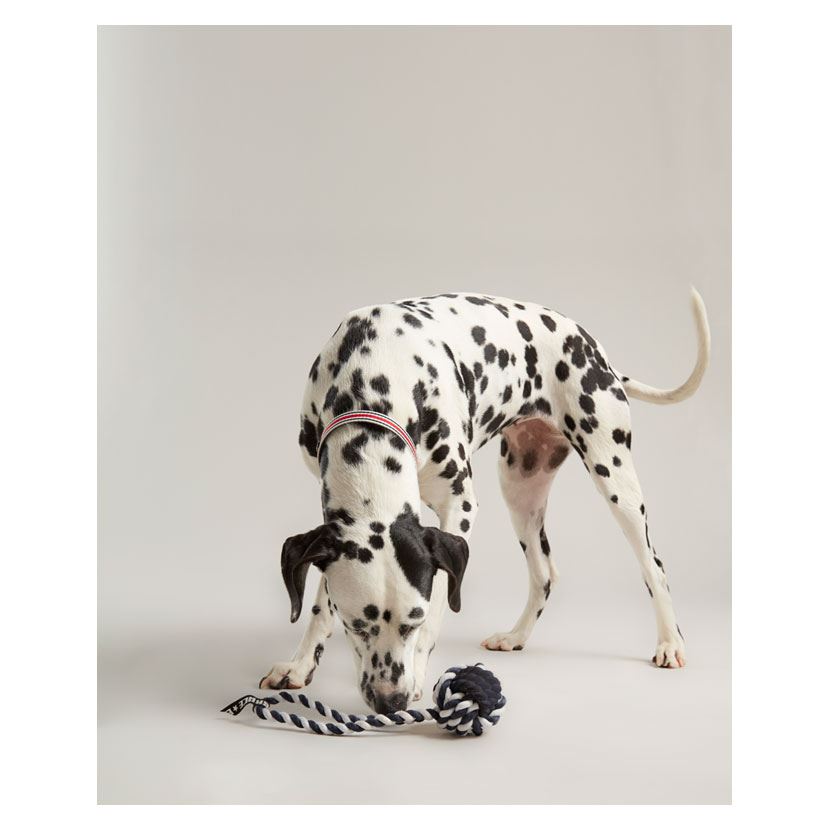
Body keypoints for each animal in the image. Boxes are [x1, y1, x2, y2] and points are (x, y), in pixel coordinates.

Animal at [260, 290, 710, 715]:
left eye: (412, 621)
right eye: (355, 625)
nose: (392, 701)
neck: (374, 376)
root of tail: (595, 350)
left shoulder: (458, 508)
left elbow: (439, 604)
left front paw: (419, 669)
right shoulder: (332, 521)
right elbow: (319, 607)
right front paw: (300, 665)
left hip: (614, 477)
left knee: (654, 567)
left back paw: (670, 643)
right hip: (520, 489)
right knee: (544, 573)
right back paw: (516, 636)